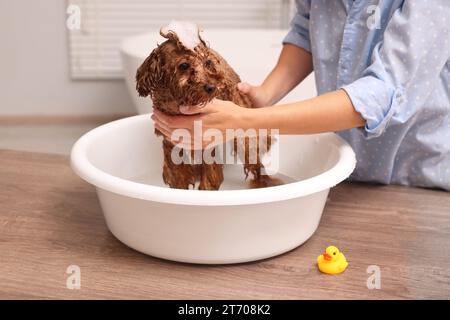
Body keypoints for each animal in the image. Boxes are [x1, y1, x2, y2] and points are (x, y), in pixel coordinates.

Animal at [136, 26, 270, 190]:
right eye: (184, 65)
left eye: (208, 63)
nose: (212, 87)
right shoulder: (171, 147)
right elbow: (178, 179)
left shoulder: (208, 146)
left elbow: (209, 180)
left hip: (244, 136)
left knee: (256, 165)